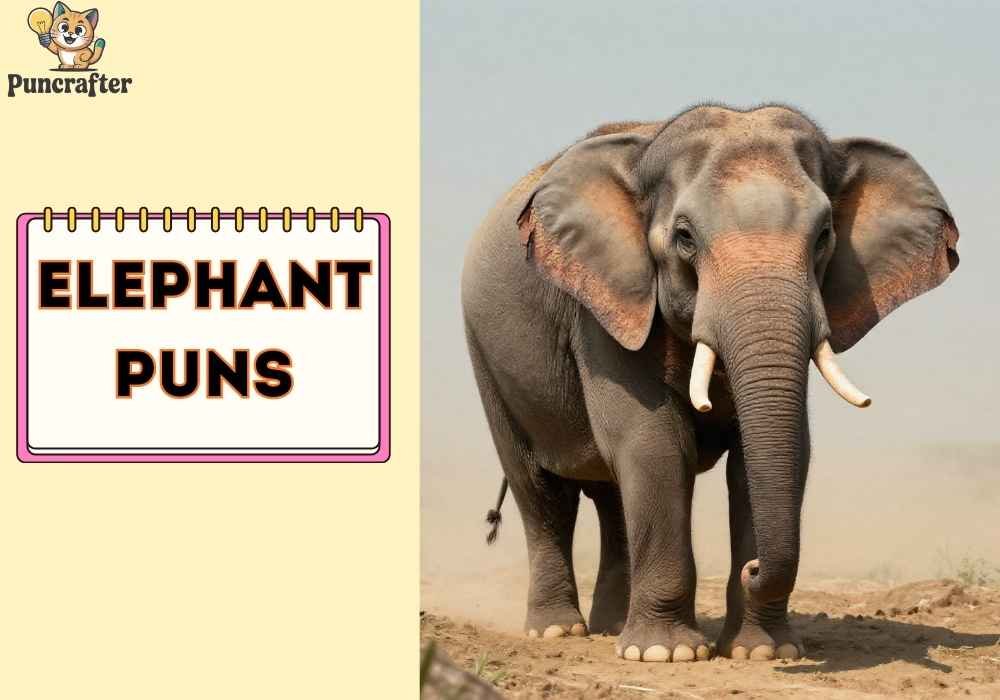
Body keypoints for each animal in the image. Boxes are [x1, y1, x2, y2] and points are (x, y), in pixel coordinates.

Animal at [461, 104, 959, 663]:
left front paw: (762, 653)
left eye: (824, 235)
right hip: (487, 357)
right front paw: (666, 655)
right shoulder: (604, 310)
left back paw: (610, 627)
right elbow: (654, 444)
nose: (753, 568)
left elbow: (774, 455)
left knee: (611, 498)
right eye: (685, 237)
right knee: (541, 489)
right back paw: (557, 632)